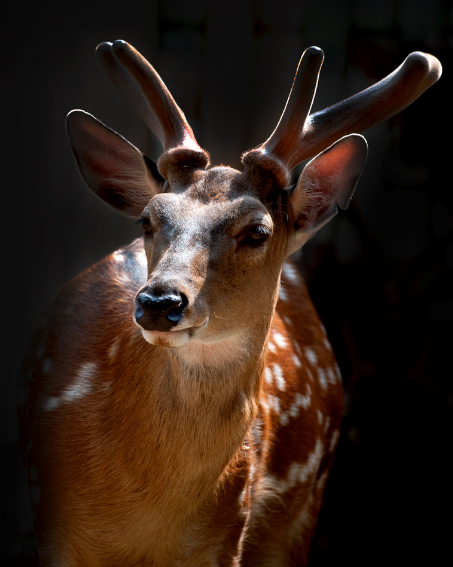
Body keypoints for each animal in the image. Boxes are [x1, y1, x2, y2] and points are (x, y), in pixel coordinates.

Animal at [19, 41, 440, 567]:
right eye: (147, 219)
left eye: (257, 231)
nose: (159, 301)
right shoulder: (51, 525)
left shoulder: (225, 539)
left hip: (304, 510)